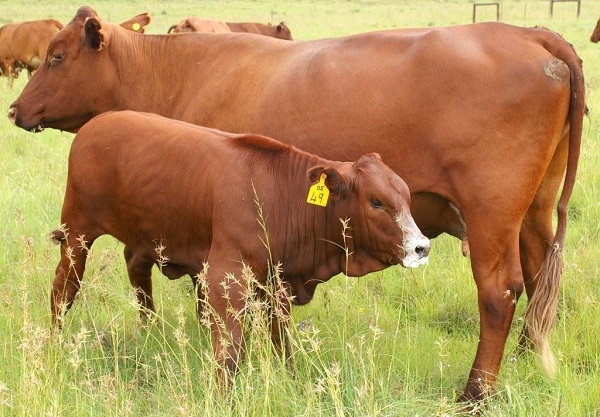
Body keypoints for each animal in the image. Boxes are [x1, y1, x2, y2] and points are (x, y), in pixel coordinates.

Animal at [50, 109, 426, 386]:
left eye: (407, 196)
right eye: (376, 201)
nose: (422, 247)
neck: (280, 194)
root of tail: (98, 122)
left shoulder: (278, 282)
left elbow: (281, 340)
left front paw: (291, 380)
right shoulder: (225, 278)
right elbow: (231, 349)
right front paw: (223, 396)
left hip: (142, 238)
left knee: (137, 274)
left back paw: (149, 331)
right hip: (77, 234)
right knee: (63, 288)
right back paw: (56, 342)